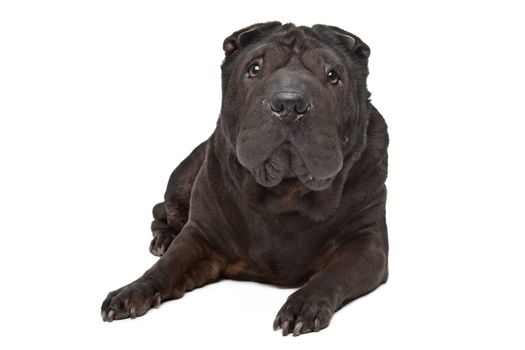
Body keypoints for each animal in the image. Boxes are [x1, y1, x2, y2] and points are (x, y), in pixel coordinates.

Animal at [100, 21, 386, 336]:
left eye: (333, 75)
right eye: (255, 69)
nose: (289, 104)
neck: (286, 191)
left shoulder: (367, 242)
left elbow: (332, 275)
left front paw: (303, 306)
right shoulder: (201, 235)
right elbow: (167, 266)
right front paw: (130, 292)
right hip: (182, 181)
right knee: (161, 212)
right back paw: (163, 240)